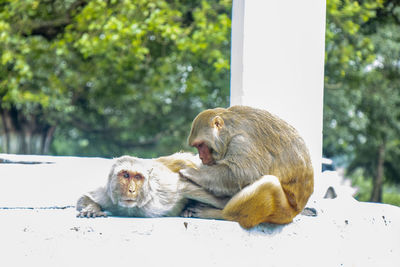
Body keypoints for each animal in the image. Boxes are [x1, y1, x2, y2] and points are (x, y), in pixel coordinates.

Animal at [76, 154, 227, 219]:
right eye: (125, 175)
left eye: (137, 177)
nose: (131, 190)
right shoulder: (108, 195)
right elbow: (83, 198)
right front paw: (92, 209)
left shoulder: (165, 190)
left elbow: (185, 186)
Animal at [180, 105, 314, 229]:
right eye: (197, 146)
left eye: (200, 145)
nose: (201, 157)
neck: (229, 132)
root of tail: (296, 211)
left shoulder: (241, 141)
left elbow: (242, 173)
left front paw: (193, 173)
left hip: (282, 211)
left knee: (269, 183)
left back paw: (221, 213)